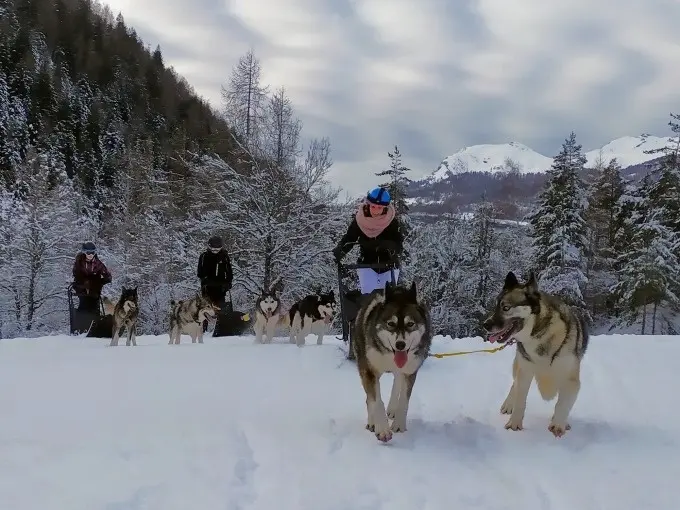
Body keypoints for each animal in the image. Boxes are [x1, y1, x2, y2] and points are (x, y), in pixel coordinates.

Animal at [350, 282, 430, 442]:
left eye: (410, 324)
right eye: (390, 324)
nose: (400, 345)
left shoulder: (410, 371)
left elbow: (404, 400)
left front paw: (398, 424)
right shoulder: (369, 371)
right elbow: (376, 401)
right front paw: (382, 429)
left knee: (397, 380)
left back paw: (392, 408)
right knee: (369, 399)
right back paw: (372, 422)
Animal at [484, 272, 588, 436]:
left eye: (506, 307)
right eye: (495, 307)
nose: (485, 325)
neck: (539, 334)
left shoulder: (570, 380)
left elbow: (562, 405)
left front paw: (558, 424)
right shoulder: (525, 371)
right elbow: (520, 399)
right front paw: (514, 425)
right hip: (519, 366)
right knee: (514, 384)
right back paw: (508, 404)